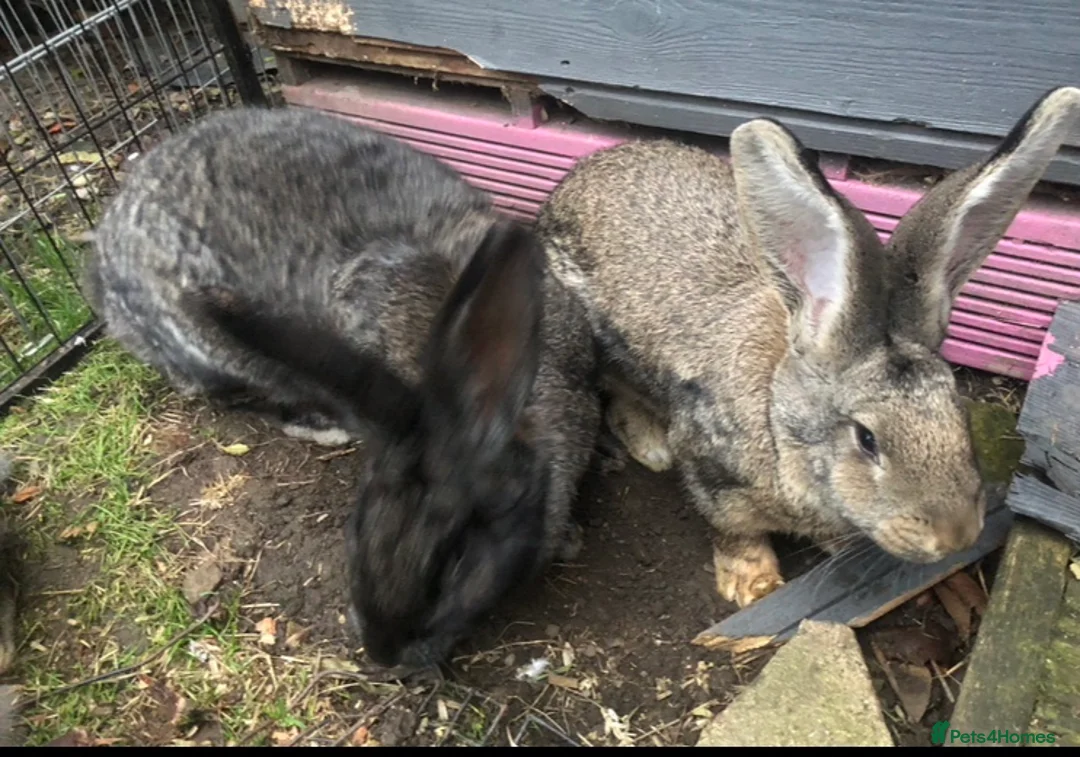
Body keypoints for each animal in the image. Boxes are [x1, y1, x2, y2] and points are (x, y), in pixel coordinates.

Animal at [536, 85, 1080, 609]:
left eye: (958, 414)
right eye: (866, 439)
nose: (956, 536)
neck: (780, 424)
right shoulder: (713, 474)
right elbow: (732, 530)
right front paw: (753, 583)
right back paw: (653, 446)